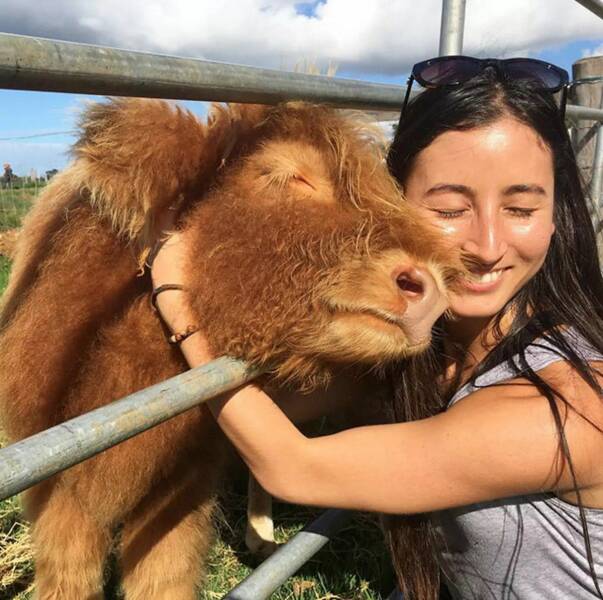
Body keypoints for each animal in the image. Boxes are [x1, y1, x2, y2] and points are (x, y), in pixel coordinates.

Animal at [0, 97, 460, 596]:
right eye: (284, 174)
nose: (429, 286)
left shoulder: (181, 492)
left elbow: (163, 579)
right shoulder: (58, 497)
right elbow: (68, 578)